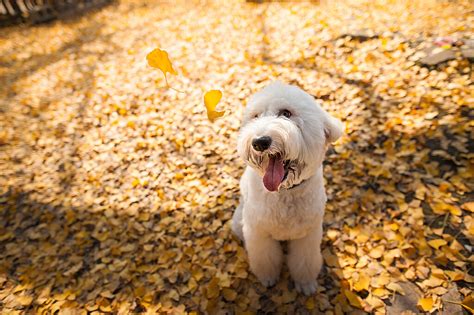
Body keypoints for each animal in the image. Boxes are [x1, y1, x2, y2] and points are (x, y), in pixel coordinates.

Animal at [231, 81, 342, 296]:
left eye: (286, 113)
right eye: (256, 116)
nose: (259, 142)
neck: (285, 192)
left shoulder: (308, 235)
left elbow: (305, 261)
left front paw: (305, 283)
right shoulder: (258, 232)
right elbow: (264, 258)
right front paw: (268, 277)